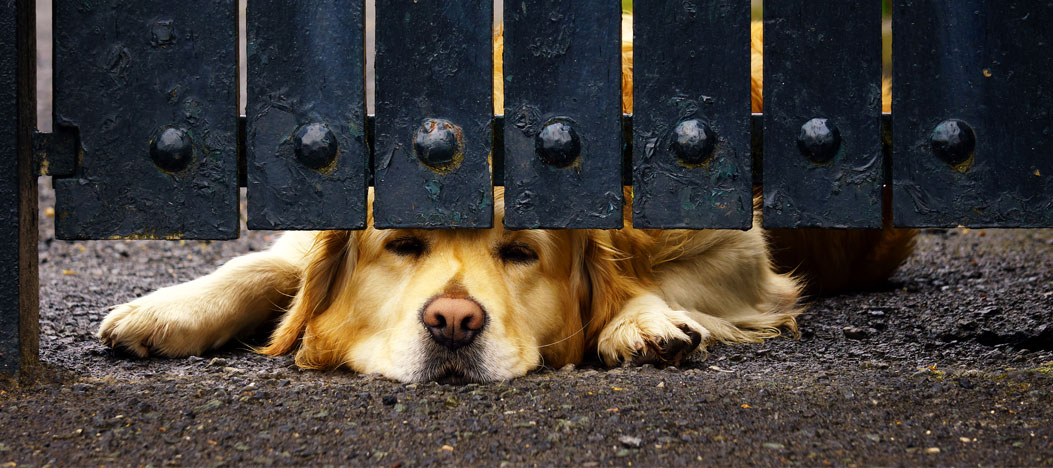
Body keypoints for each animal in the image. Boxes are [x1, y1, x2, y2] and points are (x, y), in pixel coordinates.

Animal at [94, 20, 909, 381]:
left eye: (521, 254)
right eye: (402, 244)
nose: (453, 321)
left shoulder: (746, 256)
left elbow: (651, 280)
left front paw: (639, 321)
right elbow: (268, 267)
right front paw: (166, 309)